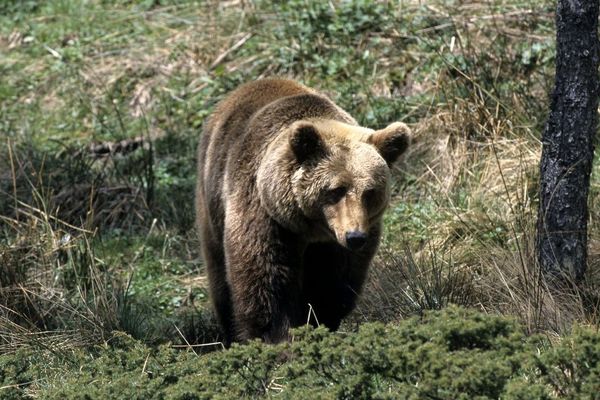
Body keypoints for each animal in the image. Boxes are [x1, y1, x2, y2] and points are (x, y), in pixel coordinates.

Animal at [195, 79, 410, 344]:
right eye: (336, 189)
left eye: (370, 191)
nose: (355, 236)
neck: (310, 229)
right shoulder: (265, 215)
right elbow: (265, 279)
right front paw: (277, 336)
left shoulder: (339, 245)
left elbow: (332, 284)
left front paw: (316, 322)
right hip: (212, 197)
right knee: (218, 273)